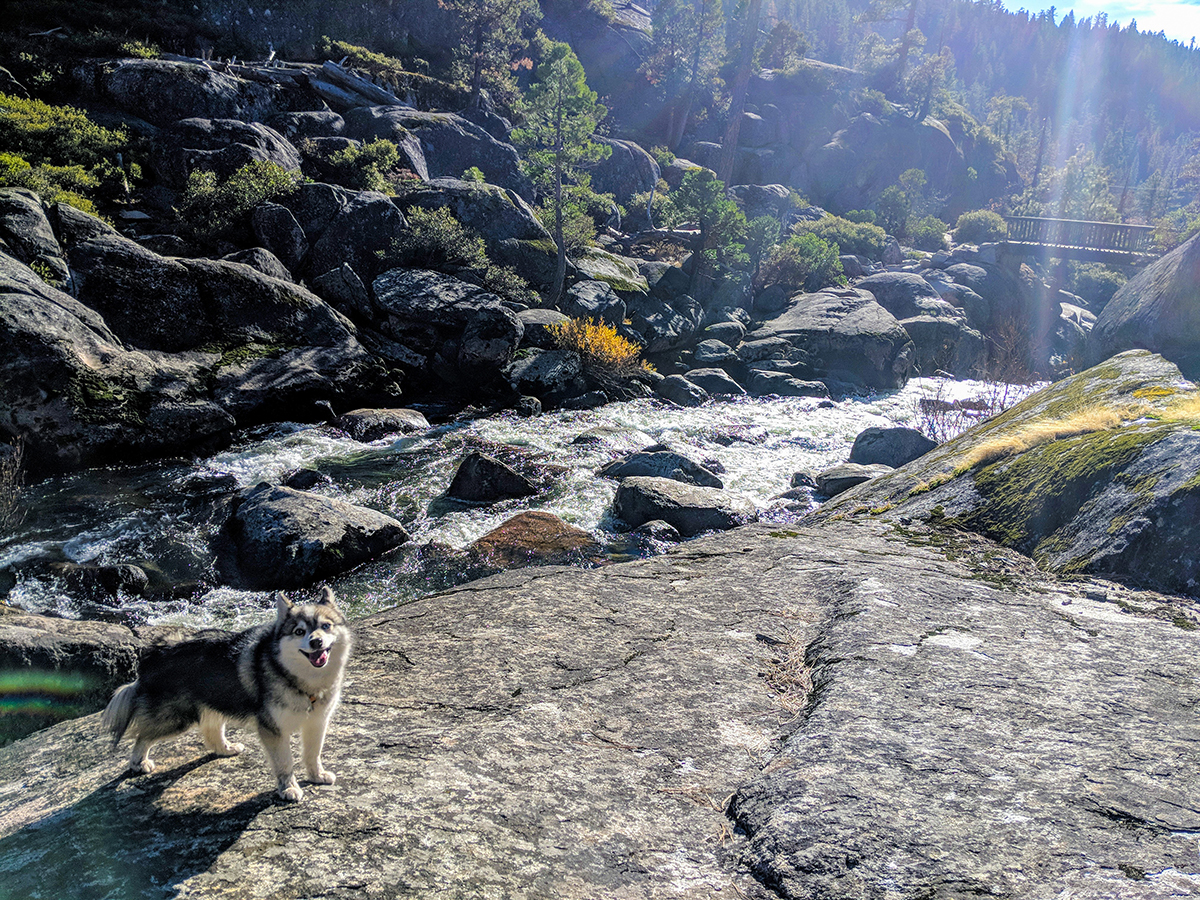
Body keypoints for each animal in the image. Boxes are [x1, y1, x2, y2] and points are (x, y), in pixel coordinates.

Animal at [102, 588, 350, 806]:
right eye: (299, 631)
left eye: (326, 626)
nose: (316, 642)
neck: (299, 678)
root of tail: (152, 654)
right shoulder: (273, 729)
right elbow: (285, 762)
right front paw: (289, 788)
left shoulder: (317, 722)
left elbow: (313, 753)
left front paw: (317, 776)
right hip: (174, 719)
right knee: (142, 736)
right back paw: (138, 763)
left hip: (210, 703)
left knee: (211, 733)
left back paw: (225, 748)